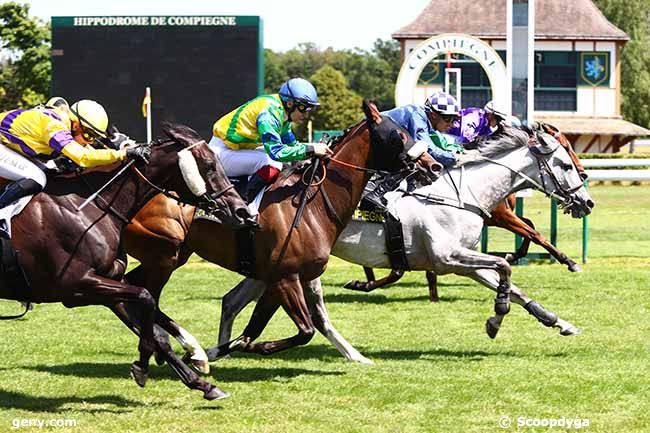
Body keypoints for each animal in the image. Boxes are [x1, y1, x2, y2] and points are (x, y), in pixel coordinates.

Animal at [0, 123, 251, 400]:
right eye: (208, 165)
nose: (242, 212)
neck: (90, 207)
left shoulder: (103, 285)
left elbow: (153, 329)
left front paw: (201, 379)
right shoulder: (77, 283)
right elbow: (146, 299)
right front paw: (144, 365)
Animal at [120, 98, 430, 372]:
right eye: (398, 135)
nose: (432, 165)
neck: (312, 204)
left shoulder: (278, 278)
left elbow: (257, 327)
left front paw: (227, 348)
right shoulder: (285, 277)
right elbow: (304, 330)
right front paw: (241, 348)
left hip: (171, 255)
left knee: (136, 287)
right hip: (166, 255)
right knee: (143, 293)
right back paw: (183, 348)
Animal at [354, 120, 588, 300]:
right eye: (567, 151)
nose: (584, 174)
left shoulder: (495, 216)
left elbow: (530, 226)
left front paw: (514, 254)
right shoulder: (500, 216)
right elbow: (534, 232)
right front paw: (570, 262)